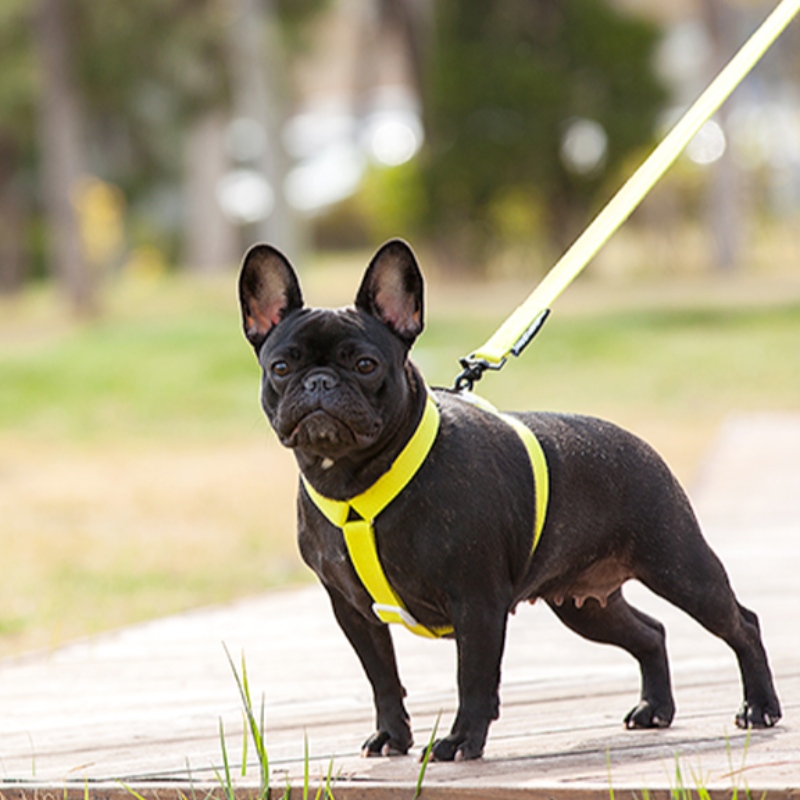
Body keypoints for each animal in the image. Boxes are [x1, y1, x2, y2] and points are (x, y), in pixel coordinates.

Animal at [238, 239, 780, 764]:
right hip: (584, 606)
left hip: (680, 568)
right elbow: (382, 678)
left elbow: (474, 678)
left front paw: (461, 742)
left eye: (365, 365)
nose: (319, 381)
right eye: (281, 367)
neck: (353, 479)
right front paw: (392, 735)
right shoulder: (352, 610)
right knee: (652, 632)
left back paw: (759, 707)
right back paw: (655, 708)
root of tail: (638, 444)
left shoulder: (476, 600)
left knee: (741, 623)